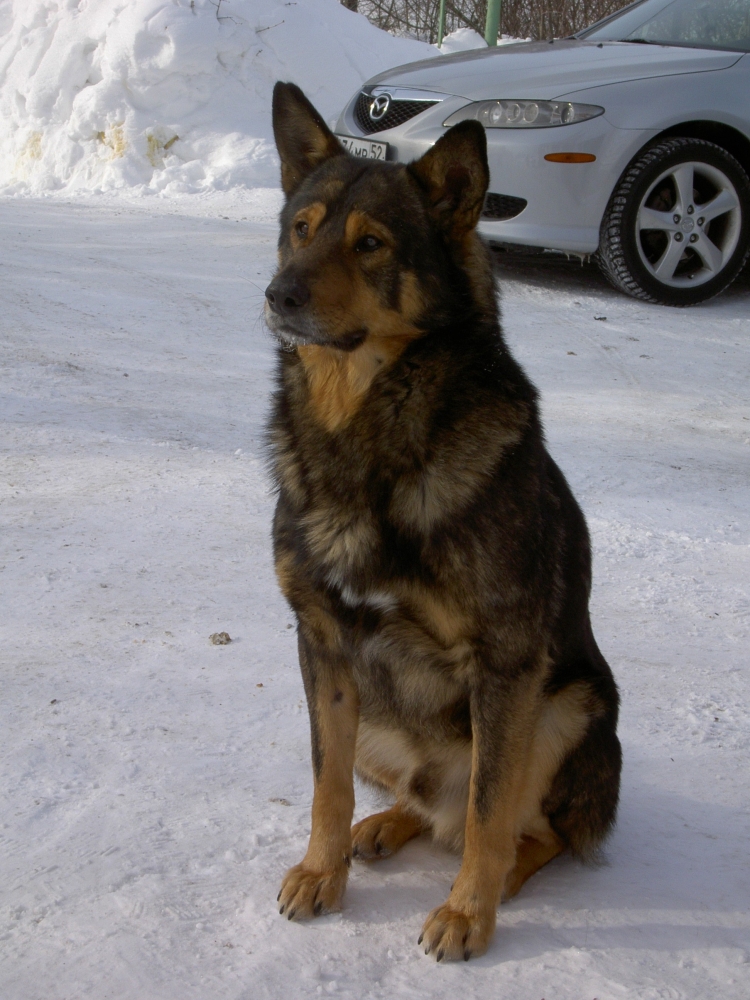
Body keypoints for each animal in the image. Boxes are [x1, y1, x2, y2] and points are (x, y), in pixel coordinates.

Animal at [264, 84, 624, 960]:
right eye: (302, 227)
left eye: (371, 245)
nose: (279, 295)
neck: (366, 435)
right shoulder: (322, 645)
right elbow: (325, 786)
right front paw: (322, 872)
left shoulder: (506, 664)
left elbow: (492, 811)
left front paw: (468, 914)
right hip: (375, 722)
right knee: (431, 812)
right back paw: (387, 826)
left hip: (566, 708)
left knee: (518, 828)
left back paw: (500, 881)